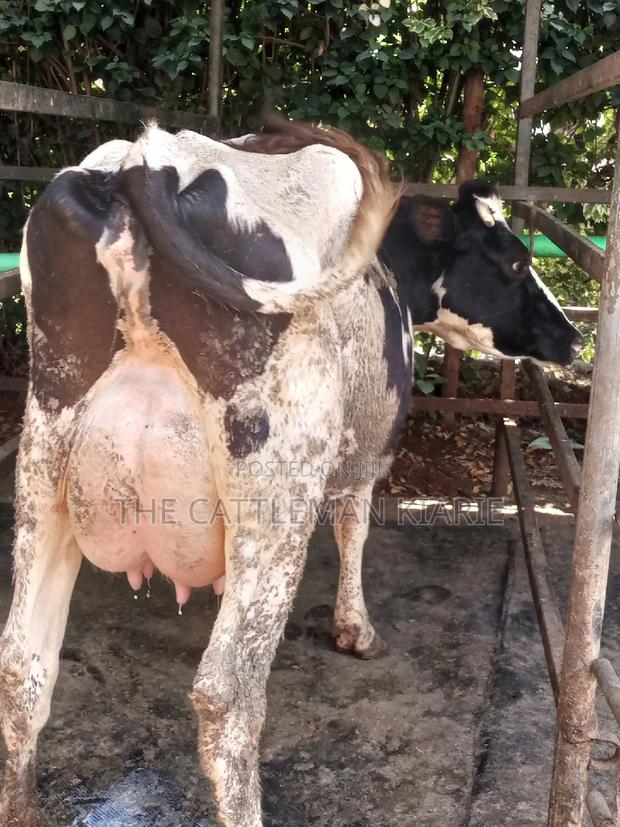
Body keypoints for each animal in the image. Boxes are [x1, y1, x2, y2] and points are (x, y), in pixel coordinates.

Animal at [0, 117, 581, 827]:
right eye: (515, 261)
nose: (573, 339)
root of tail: (147, 157)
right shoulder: (364, 452)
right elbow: (355, 527)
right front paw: (355, 629)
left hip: (45, 455)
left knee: (21, 663)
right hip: (276, 483)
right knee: (226, 692)